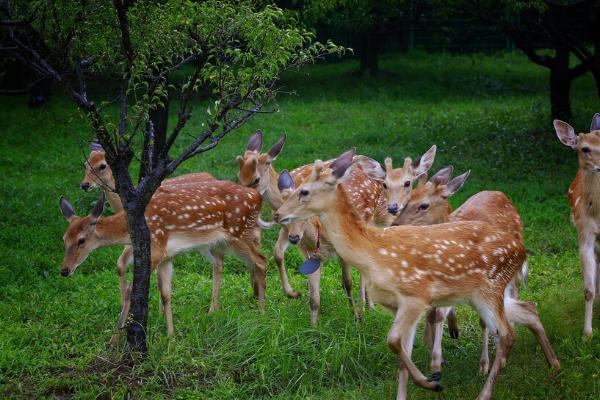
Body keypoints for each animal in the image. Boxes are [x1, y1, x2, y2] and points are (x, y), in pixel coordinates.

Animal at [59, 180, 266, 340]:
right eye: (64, 238)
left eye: (81, 240)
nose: (64, 270)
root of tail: (258, 197)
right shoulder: (166, 256)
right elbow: (166, 293)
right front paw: (171, 337)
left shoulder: (156, 249)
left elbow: (130, 291)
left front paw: (114, 340)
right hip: (218, 242)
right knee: (227, 264)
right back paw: (217, 311)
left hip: (239, 233)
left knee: (261, 261)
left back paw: (262, 313)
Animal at [274, 149, 536, 400]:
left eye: (304, 191)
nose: (277, 215)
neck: (373, 254)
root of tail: (521, 249)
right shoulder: (396, 304)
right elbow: (401, 353)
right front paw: (421, 383)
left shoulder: (416, 296)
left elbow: (392, 340)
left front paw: (432, 381)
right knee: (522, 316)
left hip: (491, 288)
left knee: (507, 334)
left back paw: (484, 390)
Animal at [394, 166, 556, 378]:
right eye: (408, 198)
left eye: (424, 205)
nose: (395, 225)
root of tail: (500, 193)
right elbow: (435, 313)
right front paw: (437, 354)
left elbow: (471, 320)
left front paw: (477, 364)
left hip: (508, 273)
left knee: (509, 300)